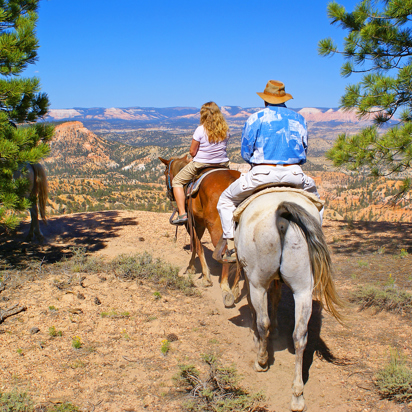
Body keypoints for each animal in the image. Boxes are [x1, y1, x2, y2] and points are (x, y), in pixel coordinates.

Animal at [159, 154, 241, 306]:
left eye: (165, 172)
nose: (169, 194)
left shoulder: (191, 223)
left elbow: (197, 246)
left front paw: (204, 276)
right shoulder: (200, 224)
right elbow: (197, 246)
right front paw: (193, 268)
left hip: (216, 228)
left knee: (226, 253)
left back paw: (226, 288)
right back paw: (236, 288)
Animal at [233, 191, 342, 412]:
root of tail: (281, 211)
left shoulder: (251, 280)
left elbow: (255, 308)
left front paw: (258, 336)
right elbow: (276, 298)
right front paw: (276, 330)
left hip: (258, 282)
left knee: (263, 322)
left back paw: (262, 360)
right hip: (303, 289)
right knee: (300, 336)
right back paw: (297, 395)